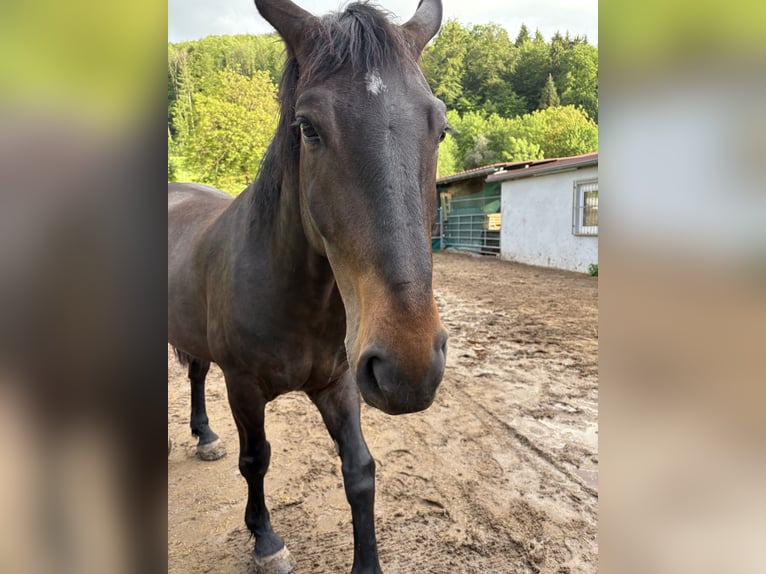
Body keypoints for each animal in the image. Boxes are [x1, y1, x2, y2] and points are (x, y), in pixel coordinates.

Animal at [168, 1, 447, 572]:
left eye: (441, 128)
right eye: (308, 127)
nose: (409, 366)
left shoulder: (340, 383)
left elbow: (360, 470)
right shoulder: (243, 386)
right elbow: (256, 460)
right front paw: (265, 541)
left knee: (196, 374)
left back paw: (205, 436)